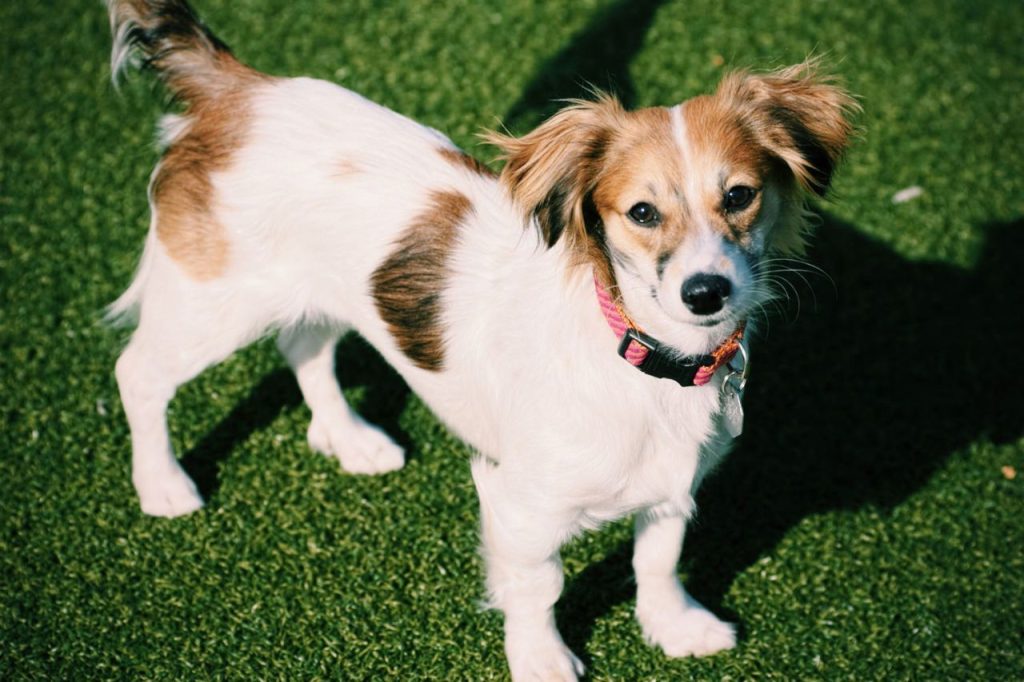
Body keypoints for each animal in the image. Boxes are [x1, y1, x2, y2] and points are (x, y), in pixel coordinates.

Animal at [103, 2, 856, 675]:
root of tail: (240, 89)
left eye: (739, 196)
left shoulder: (670, 484)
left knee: (303, 348)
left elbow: (658, 559)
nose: (706, 292)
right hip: (211, 304)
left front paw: (672, 626)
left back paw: (348, 437)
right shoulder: (519, 500)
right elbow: (540, 586)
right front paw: (542, 659)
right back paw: (161, 482)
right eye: (642, 212)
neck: (640, 358)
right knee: (138, 373)